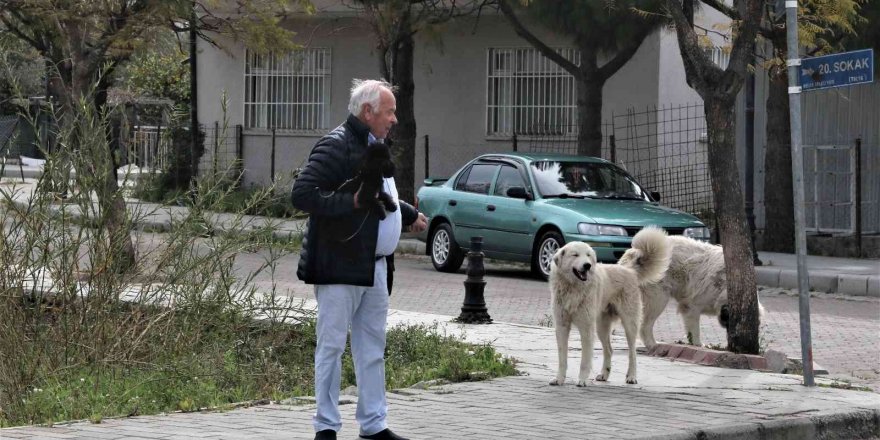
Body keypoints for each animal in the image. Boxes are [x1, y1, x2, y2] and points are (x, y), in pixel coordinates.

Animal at [548, 227, 672, 384]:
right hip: (601, 327)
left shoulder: (586, 328)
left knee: (632, 352)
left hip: (629, 324)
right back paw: (604, 374)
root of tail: (630, 271)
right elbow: (562, 358)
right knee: (609, 350)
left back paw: (631, 376)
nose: (587, 265)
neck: (573, 288)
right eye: (575, 255)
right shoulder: (562, 326)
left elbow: (585, 359)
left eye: (588, 255)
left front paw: (582, 380)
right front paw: (559, 379)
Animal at [620, 235, 764, 348]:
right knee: (645, 325)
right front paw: (698, 344)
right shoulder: (692, 306)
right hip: (658, 298)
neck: (724, 285)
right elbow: (695, 329)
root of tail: (637, 254)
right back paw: (652, 344)